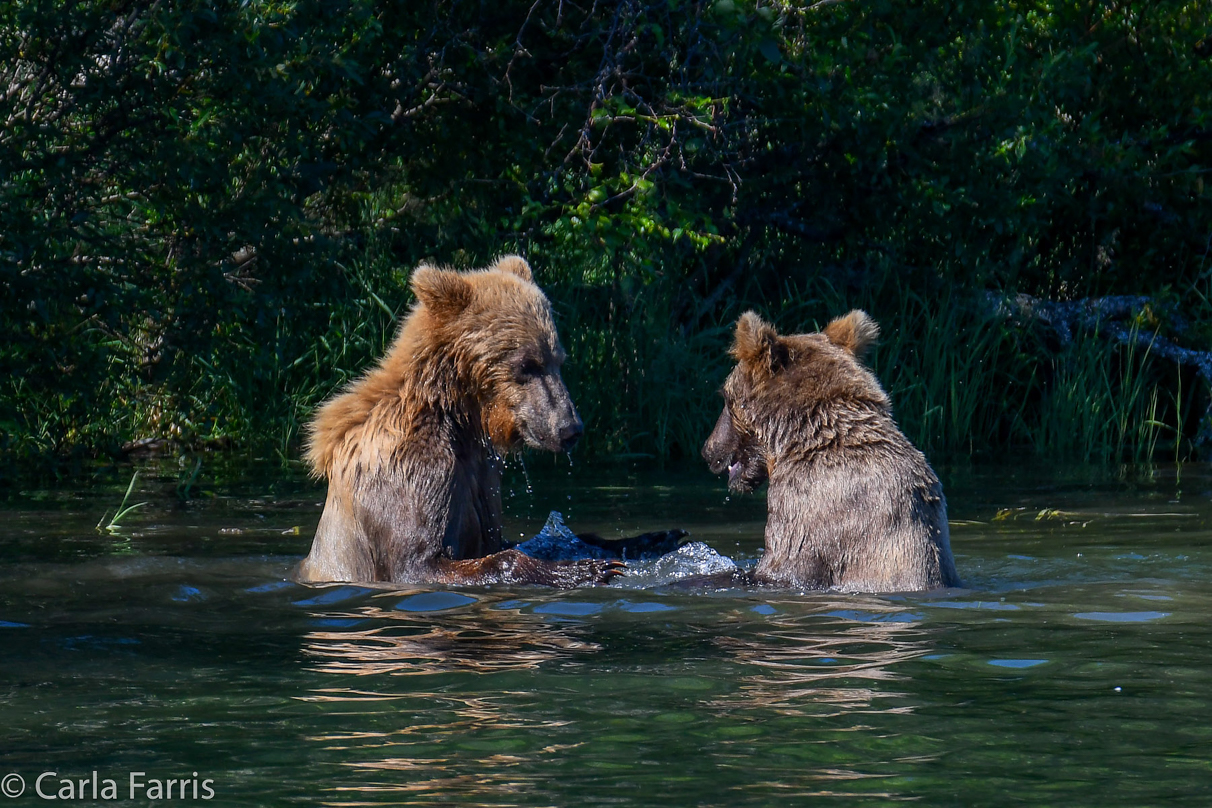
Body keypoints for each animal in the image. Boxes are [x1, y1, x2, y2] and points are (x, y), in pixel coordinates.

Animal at [295, 258, 625, 588]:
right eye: (527, 365)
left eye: (559, 360)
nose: (570, 428)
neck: (460, 414)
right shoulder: (409, 469)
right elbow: (419, 562)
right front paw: (585, 569)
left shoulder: (481, 471)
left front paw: (616, 547)